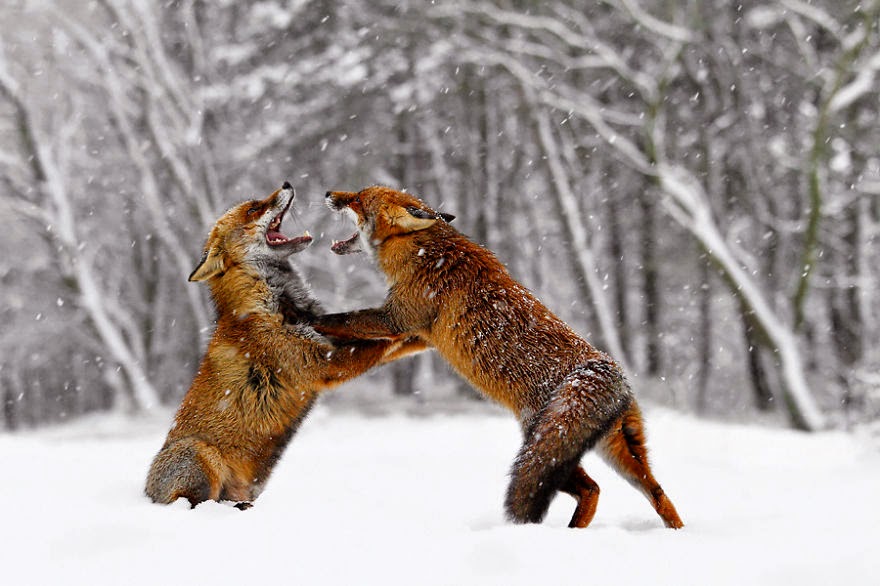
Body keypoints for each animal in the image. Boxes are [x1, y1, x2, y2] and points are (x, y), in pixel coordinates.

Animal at [145, 182, 423, 508]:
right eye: (254, 209)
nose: (287, 184)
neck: (277, 304)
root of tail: (146, 493)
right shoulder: (323, 363)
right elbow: (383, 345)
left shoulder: (330, 338)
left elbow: (396, 344)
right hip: (203, 456)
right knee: (194, 502)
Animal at [314, 185, 683, 529]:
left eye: (358, 198)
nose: (329, 193)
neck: (422, 253)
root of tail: (607, 370)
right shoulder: (417, 335)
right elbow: (369, 345)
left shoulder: (397, 319)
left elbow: (342, 318)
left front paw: (306, 319)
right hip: (619, 453)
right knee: (656, 492)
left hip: (544, 445)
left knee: (591, 489)